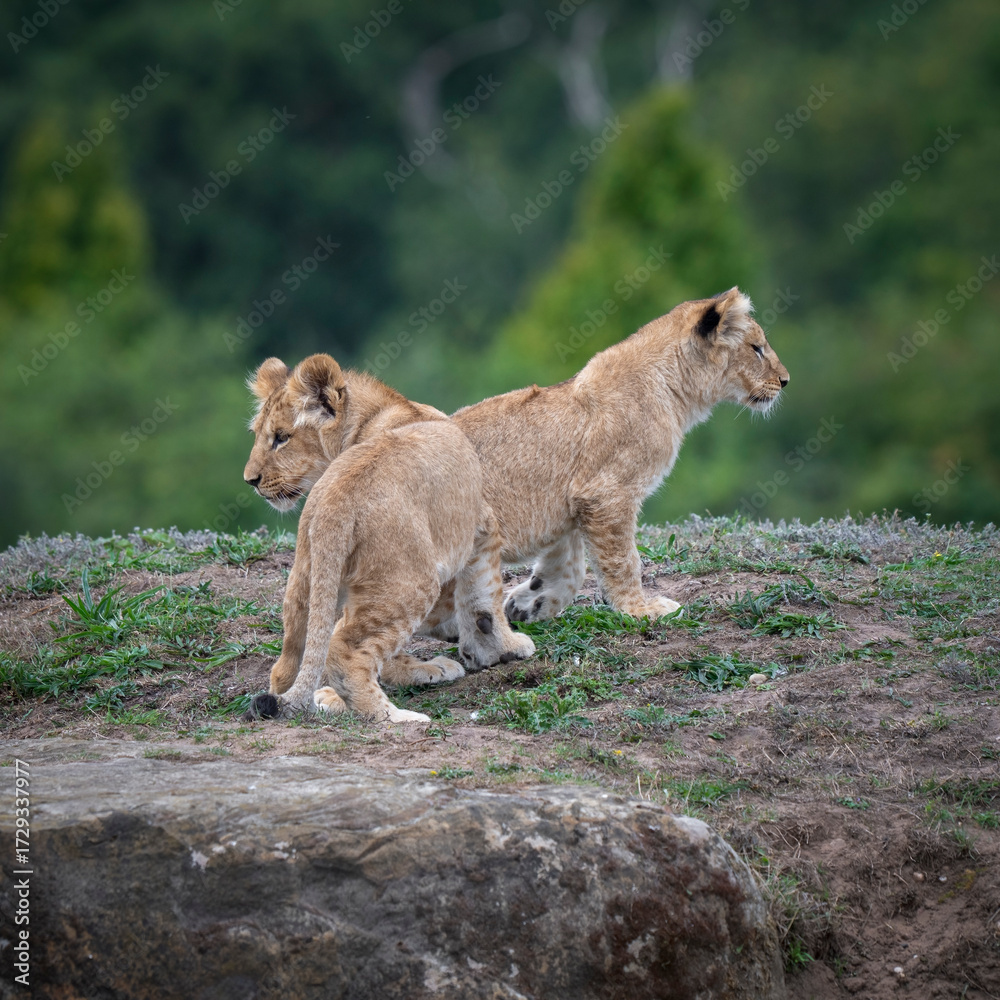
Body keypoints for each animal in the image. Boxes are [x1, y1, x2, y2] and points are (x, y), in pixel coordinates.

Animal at [243, 354, 534, 723]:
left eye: (281, 437)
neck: (378, 414)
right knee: (345, 651)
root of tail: (337, 500)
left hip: (308, 575)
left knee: (290, 660)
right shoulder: (481, 525)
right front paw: (504, 648)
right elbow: (485, 598)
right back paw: (394, 717)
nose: (250, 480)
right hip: (409, 581)